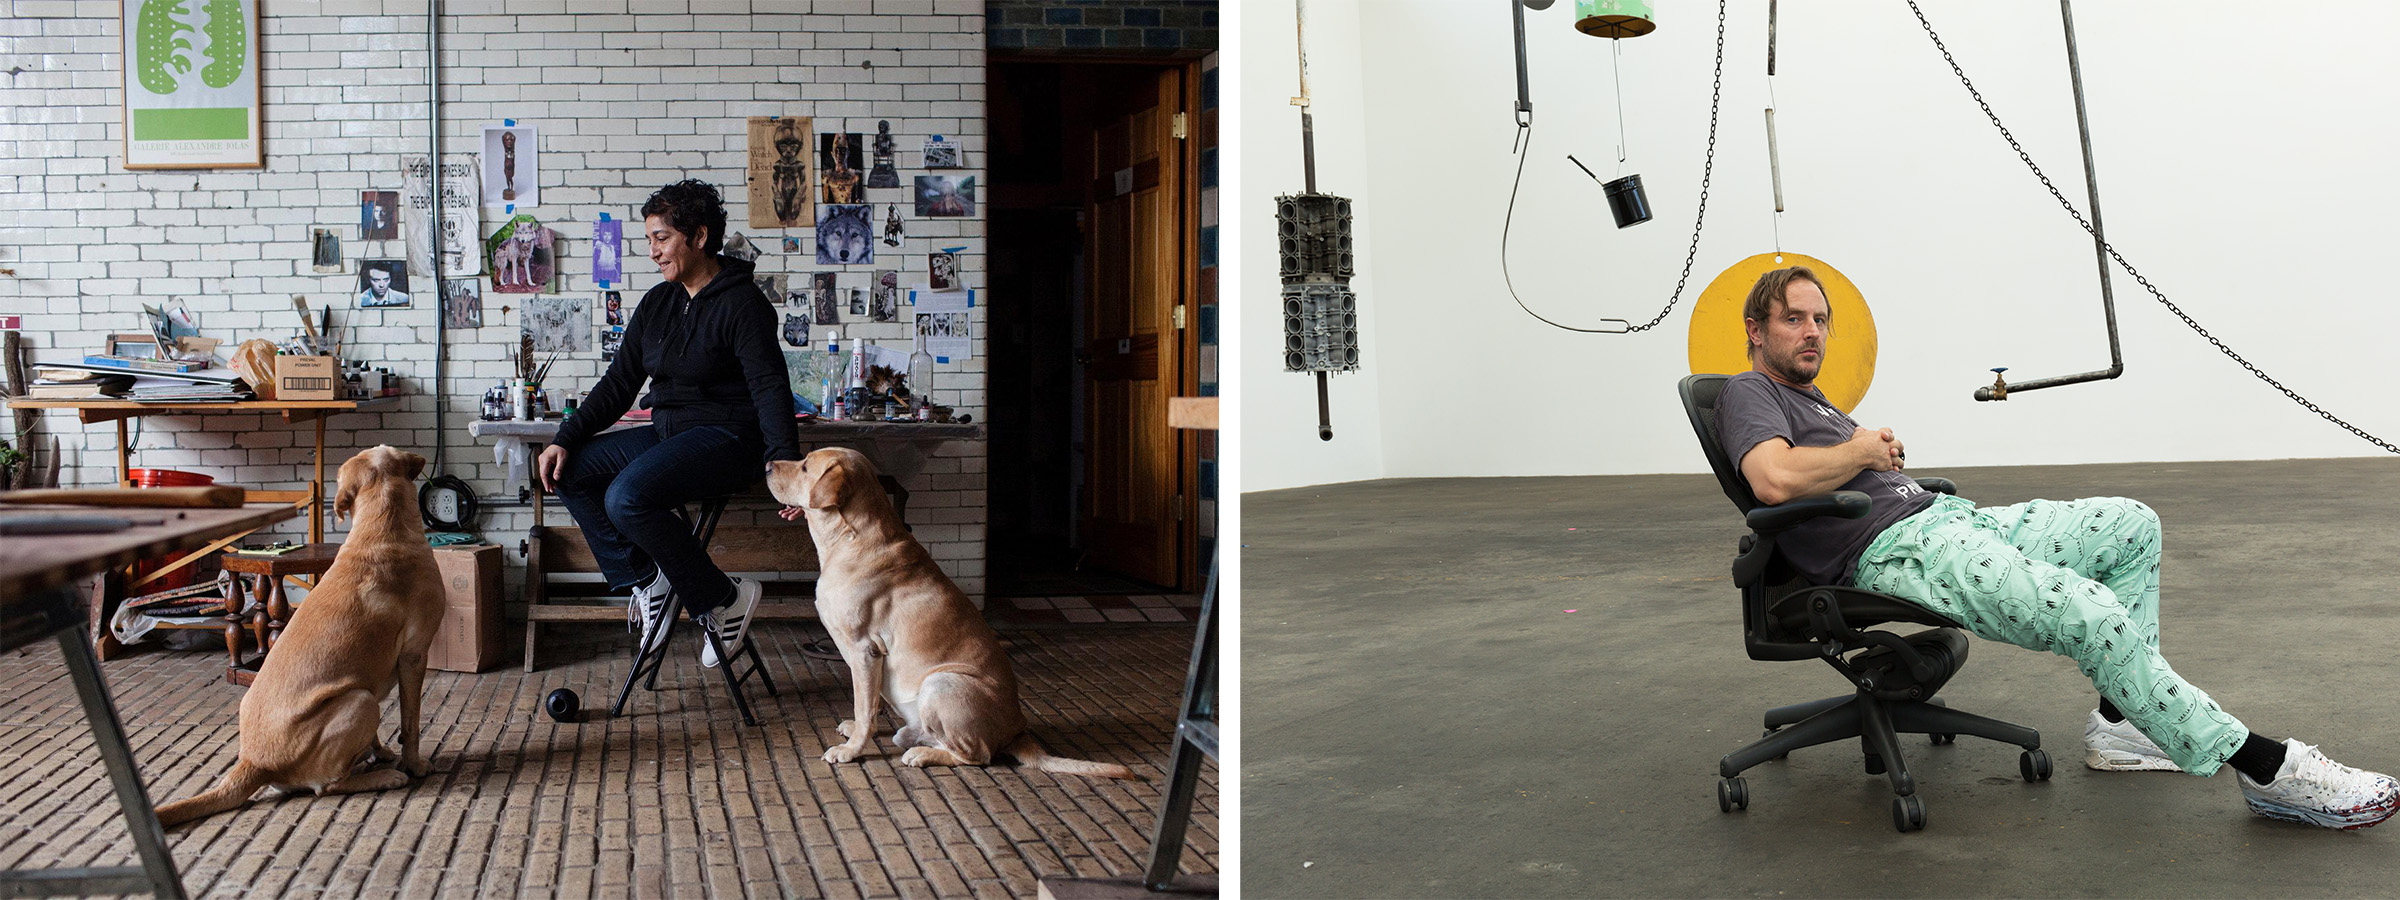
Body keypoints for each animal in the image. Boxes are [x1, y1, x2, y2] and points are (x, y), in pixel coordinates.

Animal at [154, 448, 446, 830]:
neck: (381, 527)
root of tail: (254, 763)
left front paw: (380, 751)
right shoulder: (414, 656)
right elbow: (410, 722)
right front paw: (413, 765)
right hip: (360, 700)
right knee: (329, 786)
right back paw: (385, 777)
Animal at [772, 451, 1137, 782]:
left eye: (805, 466)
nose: (766, 464)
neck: (850, 537)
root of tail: (1018, 732)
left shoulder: (864, 649)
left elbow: (864, 705)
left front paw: (852, 750)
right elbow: (869, 704)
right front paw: (860, 731)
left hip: (941, 683)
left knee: (977, 755)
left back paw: (922, 755)